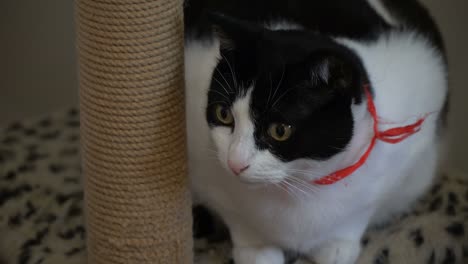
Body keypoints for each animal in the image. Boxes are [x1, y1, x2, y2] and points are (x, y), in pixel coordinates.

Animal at [182, 1, 446, 262]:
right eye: (223, 114)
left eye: (280, 130)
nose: (236, 164)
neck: (298, 184)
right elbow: (236, 217)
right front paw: (256, 248)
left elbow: (361, 211)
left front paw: (338, 245)